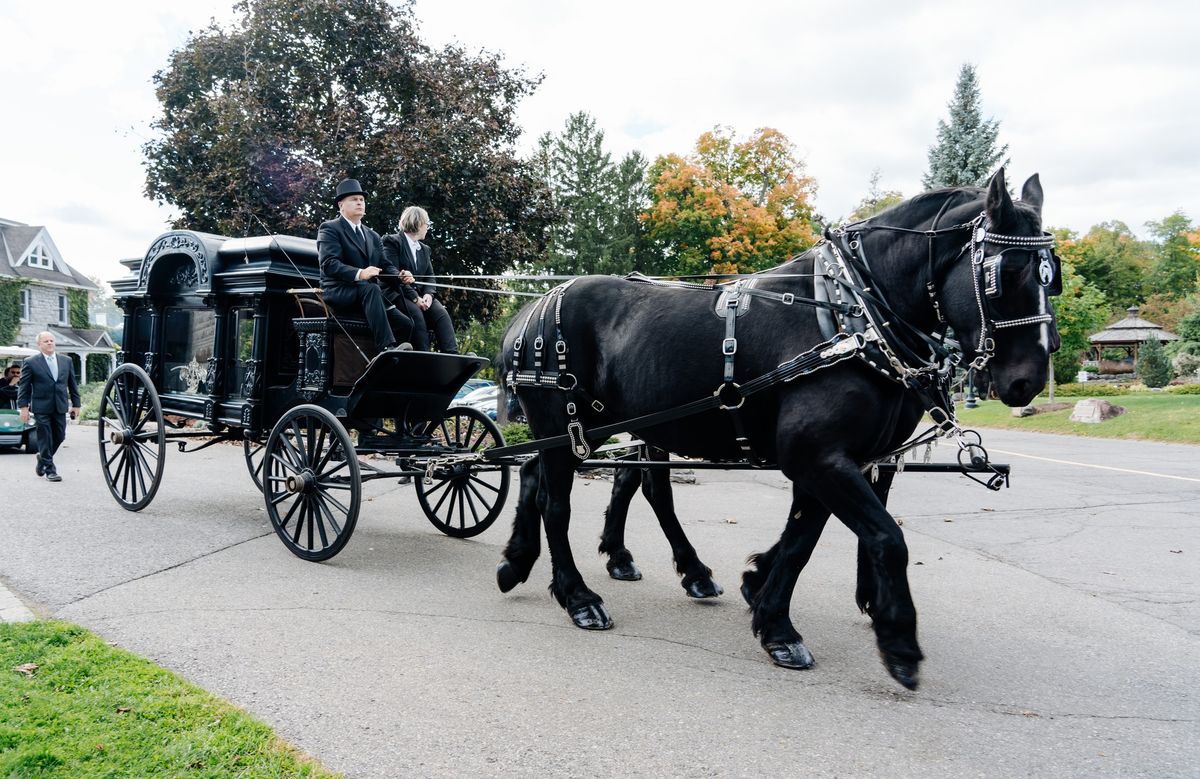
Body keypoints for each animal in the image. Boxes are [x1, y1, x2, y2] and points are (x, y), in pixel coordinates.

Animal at [496, 171, 1060, 686]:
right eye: (1006, 273)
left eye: (1051, 276)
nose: (1030, 378)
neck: (851, 316)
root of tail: (529, 310)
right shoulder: (818, 456)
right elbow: (884, 536)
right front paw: (893, 639)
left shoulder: (838, 460)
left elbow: (802, 540)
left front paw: (766, 599)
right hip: (565, 420)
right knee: (558, 500)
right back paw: (578, 597)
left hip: (595, 425)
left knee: (551, 475)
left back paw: (523, 562)